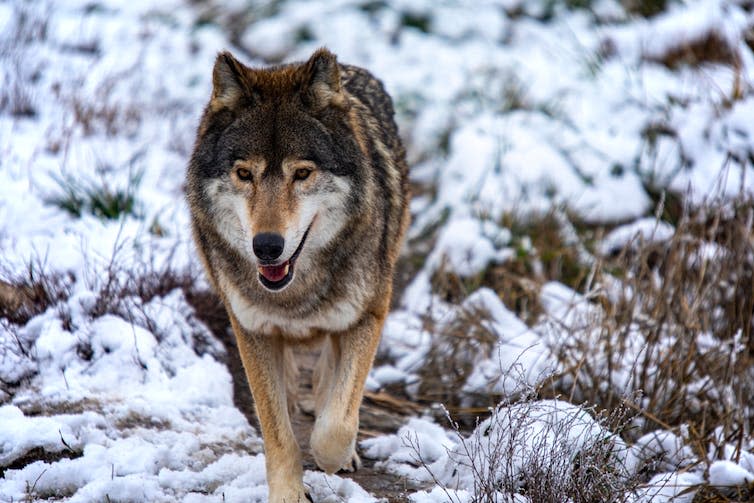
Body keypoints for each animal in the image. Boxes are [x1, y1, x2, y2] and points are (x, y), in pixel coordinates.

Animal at [186, 48, 408, 503]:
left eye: (302, 173)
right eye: (244, 174)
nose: (267, 246)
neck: (295, 292)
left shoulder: (369, 313)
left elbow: (335, 426)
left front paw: (334, 457)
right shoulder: (250, 328)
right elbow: (277, 433)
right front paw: (288, 493)